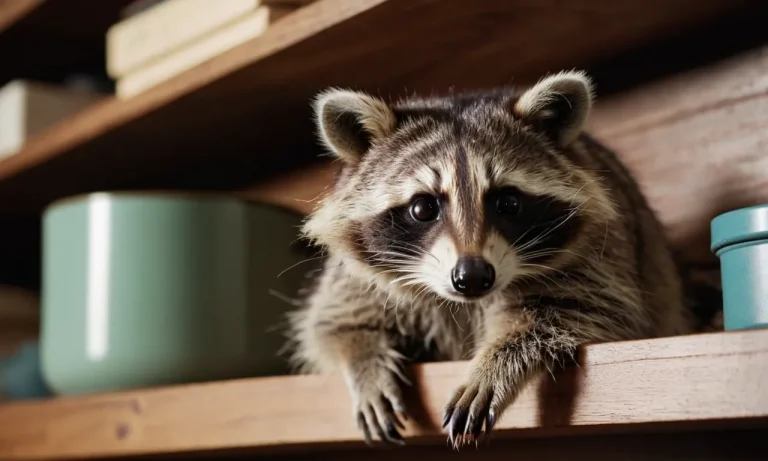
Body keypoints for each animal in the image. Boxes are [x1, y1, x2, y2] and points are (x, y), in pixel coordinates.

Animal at [285, 70, 691, 448]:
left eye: (508, 203)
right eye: (423, 208)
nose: (472, 276)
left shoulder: (601, 257)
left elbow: (575, 309)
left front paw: (492, 366)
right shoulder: (357, 277)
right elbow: (335, 322)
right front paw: (365, 359)